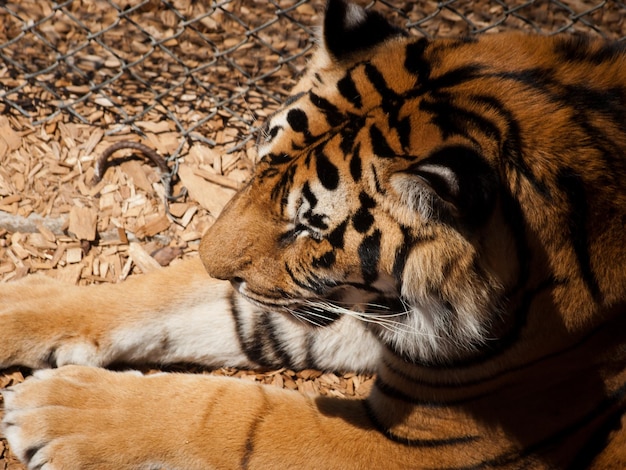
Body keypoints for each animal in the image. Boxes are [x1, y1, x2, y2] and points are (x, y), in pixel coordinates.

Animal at [1, 0, 624, 468]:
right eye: (260, 162)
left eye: (307, 225)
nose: (208, 260)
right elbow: (161, 300)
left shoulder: (418, 443)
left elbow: (241, 417)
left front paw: (58, 410)